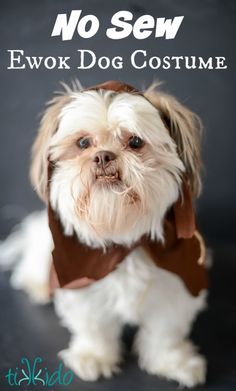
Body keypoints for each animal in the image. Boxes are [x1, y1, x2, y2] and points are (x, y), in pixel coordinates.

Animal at [1, 81, 208, 388]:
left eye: (135, 142)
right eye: (83, 143)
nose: (103, 156)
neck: (121, 241)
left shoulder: (176, 284)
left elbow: (165, 331)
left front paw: (174, 362)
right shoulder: (81, 281)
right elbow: (93, 326)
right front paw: (93, 357)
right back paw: (37, 285)